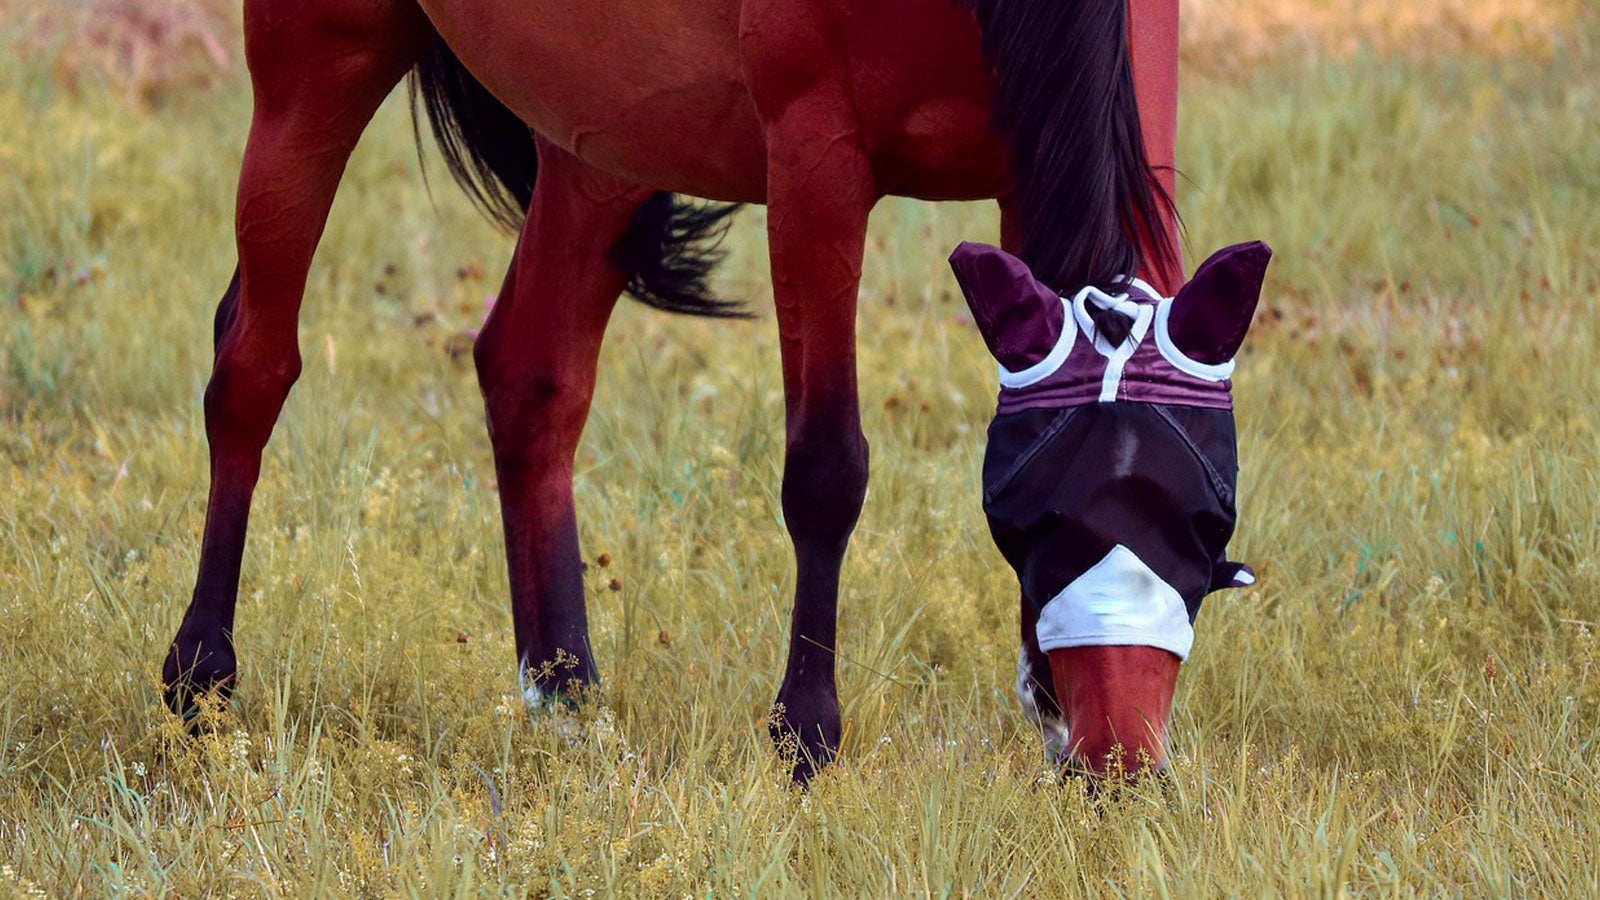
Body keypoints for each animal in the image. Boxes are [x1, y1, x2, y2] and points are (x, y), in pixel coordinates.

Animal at [162, 0, 1190, 778]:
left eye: (1205, 531)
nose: (1120, 764)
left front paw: (1044, 705)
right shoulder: (816, 159)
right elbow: (827, 469)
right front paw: (805, 733)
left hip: (599, 138)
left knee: (530, 375)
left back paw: (565, 695)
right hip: (318, 59)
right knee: (253, 365)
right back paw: (200, 679)